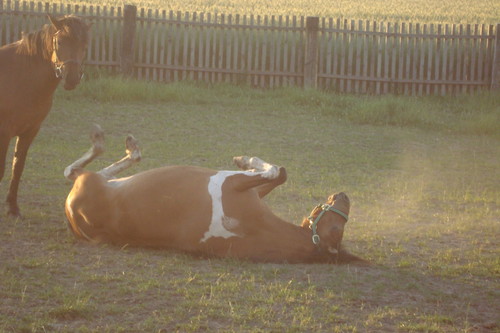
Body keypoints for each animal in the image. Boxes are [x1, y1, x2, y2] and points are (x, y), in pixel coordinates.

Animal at [0, 14, 91, 218]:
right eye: (59, 41)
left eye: (84, 43)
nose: (71, 78)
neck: (21, 76)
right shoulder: (4, 133)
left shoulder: (30, 131)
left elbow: (17, 168)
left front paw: (13, 208)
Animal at [64, 126, 366, 264]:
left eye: (337, 229)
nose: (344, 196)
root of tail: (72, 220)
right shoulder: (250, 190)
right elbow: (279, 174)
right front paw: (245, 160)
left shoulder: (230, 183)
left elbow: (276, 170)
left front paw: (245, 159)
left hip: (88, 182)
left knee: (74, 170)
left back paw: (111, 143)